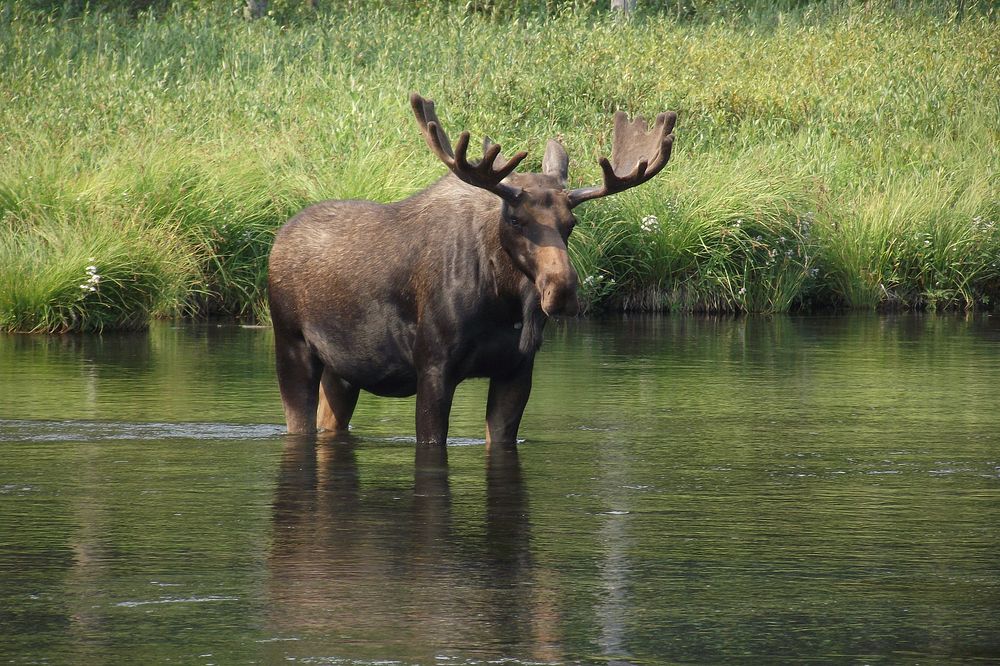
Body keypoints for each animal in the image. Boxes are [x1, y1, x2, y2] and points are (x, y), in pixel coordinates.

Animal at [266, 93, 676, 444]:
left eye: (570, 223)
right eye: (515, 219)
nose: (561, 290)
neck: (502, 302)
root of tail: (278, 239)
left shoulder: (518, 369)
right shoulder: (433, 366)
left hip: (343, 370)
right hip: (291, 343)